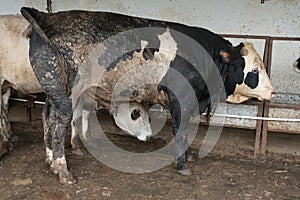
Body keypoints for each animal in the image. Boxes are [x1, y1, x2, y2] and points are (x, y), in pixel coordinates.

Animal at [21, 8, 274, 185]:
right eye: (254, 70)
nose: (272, 91)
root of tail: (46, 17)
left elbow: (186, 131)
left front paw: (188, 156)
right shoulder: (180, 98)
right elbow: (180, 131)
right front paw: (182, 166)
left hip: (52, 89)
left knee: (47, 117)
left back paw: (50, 161)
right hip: (66, 94)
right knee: (59, 123)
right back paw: (63, 171)